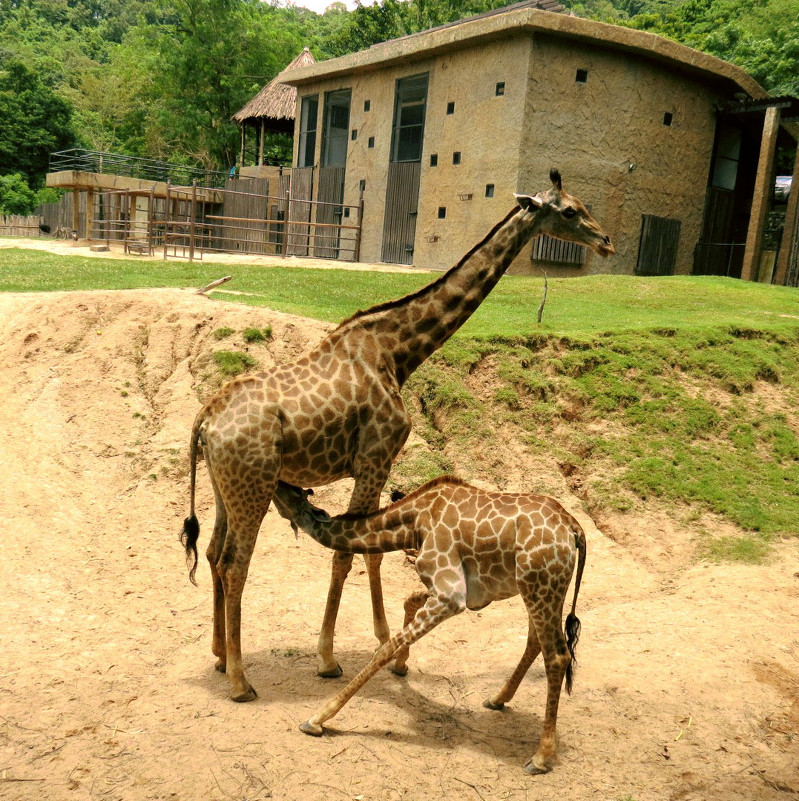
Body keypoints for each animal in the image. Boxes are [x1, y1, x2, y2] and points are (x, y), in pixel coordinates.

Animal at [181, 169, 616, 700]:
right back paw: (242, 681)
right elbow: (350, 554)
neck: (398, 351)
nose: (607, 241)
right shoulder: (378, 454)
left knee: (213, 552)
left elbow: (366, 553)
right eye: (571, 210)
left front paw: (383, 645)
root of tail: (204, 420)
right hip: (254, 484)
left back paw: (221, 656)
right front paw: (333, 659)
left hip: (226, 485)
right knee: (234, 563)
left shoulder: (375, 462)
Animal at [274, 476, 588, 776]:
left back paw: (540, 757)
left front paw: (317, 719)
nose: (275, 485)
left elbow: (384, 649)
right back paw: (497, 699)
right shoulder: (454, 591)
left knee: (557, 655)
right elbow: (408, 602)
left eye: (285, 491)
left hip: (540, 585)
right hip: (537, 588)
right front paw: (401, 666)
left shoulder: (452, 595)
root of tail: (575, 530)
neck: (414, 521)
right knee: (536, 641)